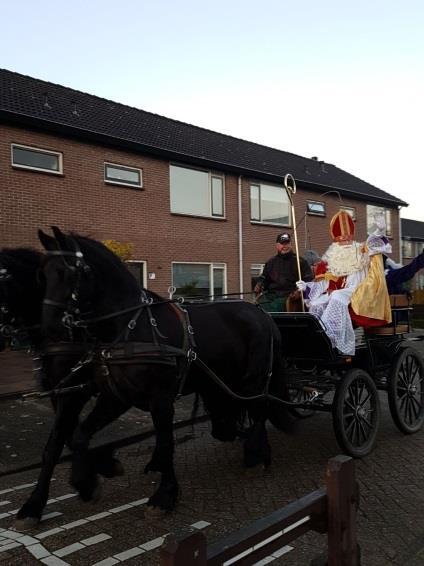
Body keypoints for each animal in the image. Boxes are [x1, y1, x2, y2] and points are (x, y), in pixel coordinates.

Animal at [0, 251, 123, 524]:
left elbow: (56, 444)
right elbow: (68, 436)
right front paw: (101, 468)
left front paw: (34, 504)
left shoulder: (75, 392)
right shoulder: (60, 393)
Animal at [39, 227, 292, 516]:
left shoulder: (160, 400)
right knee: (234, 415)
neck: (131, 327)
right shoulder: (116, 397)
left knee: (260, 408)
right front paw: (85, 484)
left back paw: (256, 454)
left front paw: (165, 494)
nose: (49, 330)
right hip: (226, 381)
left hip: (254, 378)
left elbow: (165, 442)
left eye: (68, 271)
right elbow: (81, 435)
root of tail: (262, 314)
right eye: (43, 273)